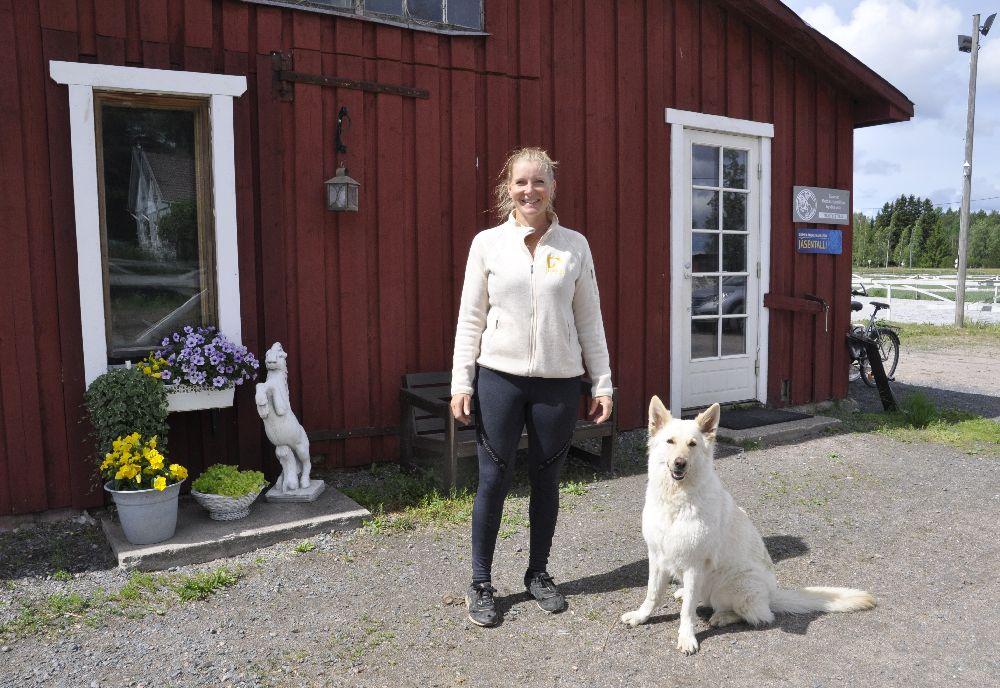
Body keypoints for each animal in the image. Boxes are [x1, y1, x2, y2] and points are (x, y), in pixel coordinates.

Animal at [620, 396, 872, 652]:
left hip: (735, 585)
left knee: (758, 615)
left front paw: (686, 637)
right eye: (670, 441)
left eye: (692, 444)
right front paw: (641, 616)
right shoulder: (657, 557)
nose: (679, 463)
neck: (677, 501)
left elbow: (687, 612)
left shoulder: (694, 566)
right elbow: (652, 594)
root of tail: (771, 594)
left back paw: (723, 617)